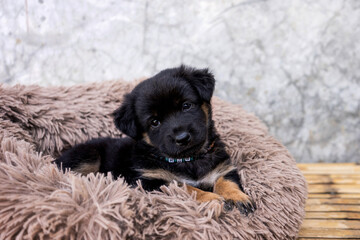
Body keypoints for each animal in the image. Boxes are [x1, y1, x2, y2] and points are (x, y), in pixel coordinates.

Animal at [54, 65, 255, 214]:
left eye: (186, 105)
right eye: (154, 122)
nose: (182, 138)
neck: (188, 159)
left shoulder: (223, 167)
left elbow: (225, 181)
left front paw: (236, 197)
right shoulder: (151, 182)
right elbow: (184, 187)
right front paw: (212, 198)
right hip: (88, 155)